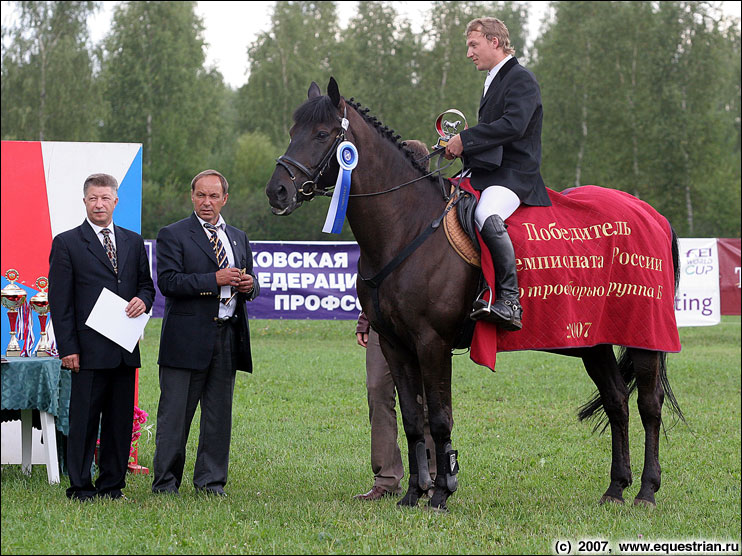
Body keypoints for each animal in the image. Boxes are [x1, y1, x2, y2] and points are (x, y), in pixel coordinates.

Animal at [268, 78, 684, 512]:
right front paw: (413, 494)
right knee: (617, 401)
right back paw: (615, 488)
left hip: (643, 337)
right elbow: (413, 421)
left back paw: (646, 491)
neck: (407, 226)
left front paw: (440, 492)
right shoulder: (395, 344)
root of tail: (651, 214)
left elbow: (439, 419)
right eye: (293, 131)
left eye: (322, 134)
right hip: (593, 342)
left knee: (648, 405)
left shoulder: (431, 342)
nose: (277, 191)